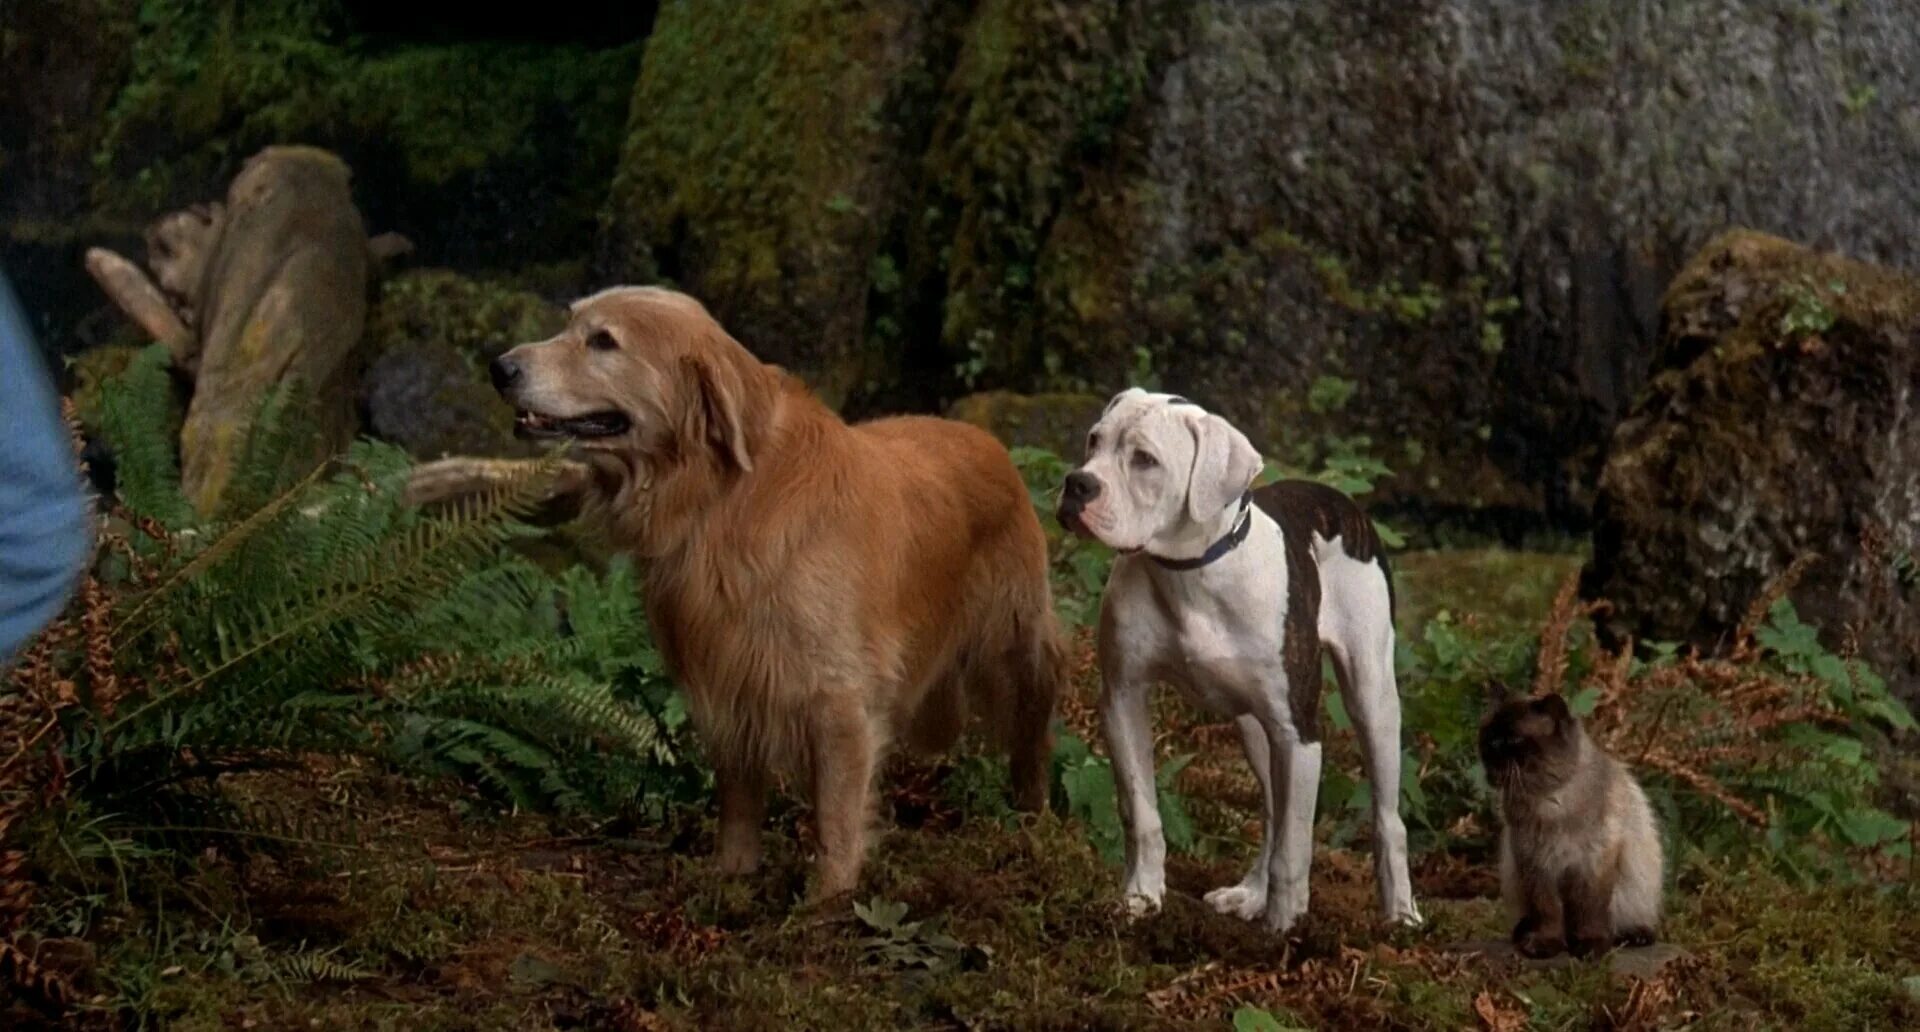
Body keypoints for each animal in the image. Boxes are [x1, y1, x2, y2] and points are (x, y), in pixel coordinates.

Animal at [487, 285, 1067, 893]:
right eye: (569, 323)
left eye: (603, 341)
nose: (499, 368)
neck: (720, 499)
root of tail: (990, 443)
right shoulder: (729, 686)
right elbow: (740, 807)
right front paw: (731, 883)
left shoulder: (837, 699)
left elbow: (836, 823)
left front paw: (826, 901)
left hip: (1017, 652)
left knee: (1032, 746)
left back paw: (1034, 827)